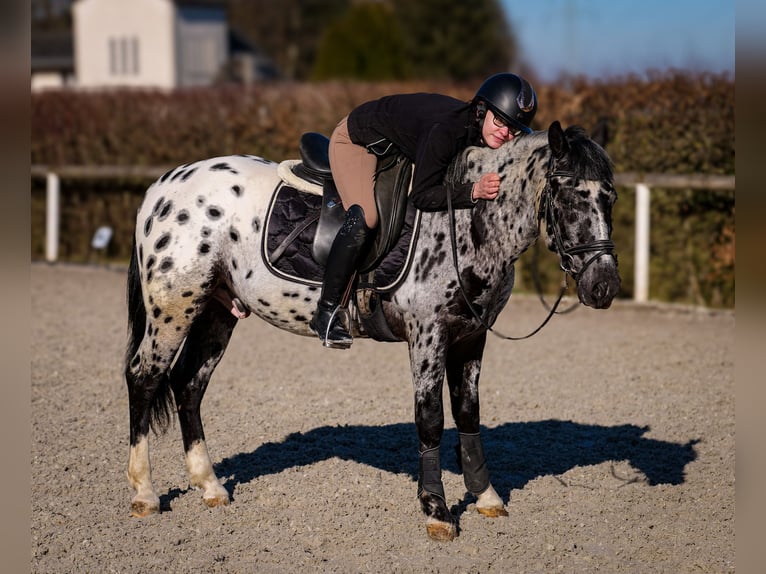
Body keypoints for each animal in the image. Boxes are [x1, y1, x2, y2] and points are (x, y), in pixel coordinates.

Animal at [123, 119, 620, 544]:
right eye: (568, 195)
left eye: (610, 197)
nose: (605, 287)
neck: (466, 220)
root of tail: (163, 188)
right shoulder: (428, 334)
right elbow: (430, 421)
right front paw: (437, 512)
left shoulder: (470, 336)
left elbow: (468, 414)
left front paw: (486, 497)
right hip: (175, 306)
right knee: (144, 378)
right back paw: (145, 494)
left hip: (217, 311)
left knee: (189, 385)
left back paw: (210, 486)